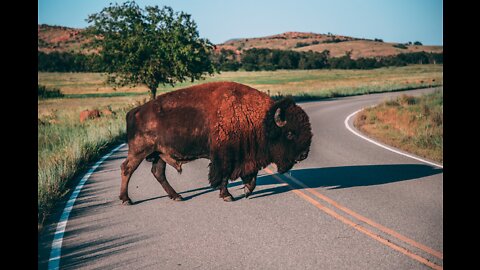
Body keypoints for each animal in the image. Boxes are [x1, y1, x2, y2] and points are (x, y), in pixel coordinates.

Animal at [119, 81, 312, 204]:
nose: (303, 155)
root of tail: (134, 111)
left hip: (159, 154)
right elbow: (224, 176)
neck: (260, 119)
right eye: (290, 133)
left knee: (158, 173)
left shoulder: (247, 157)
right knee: (127, 168)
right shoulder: (225, 157)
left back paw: (177, 196)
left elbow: (252, 176)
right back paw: (126, 199)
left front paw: (247, 191)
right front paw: (227, 196)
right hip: (140, 151)